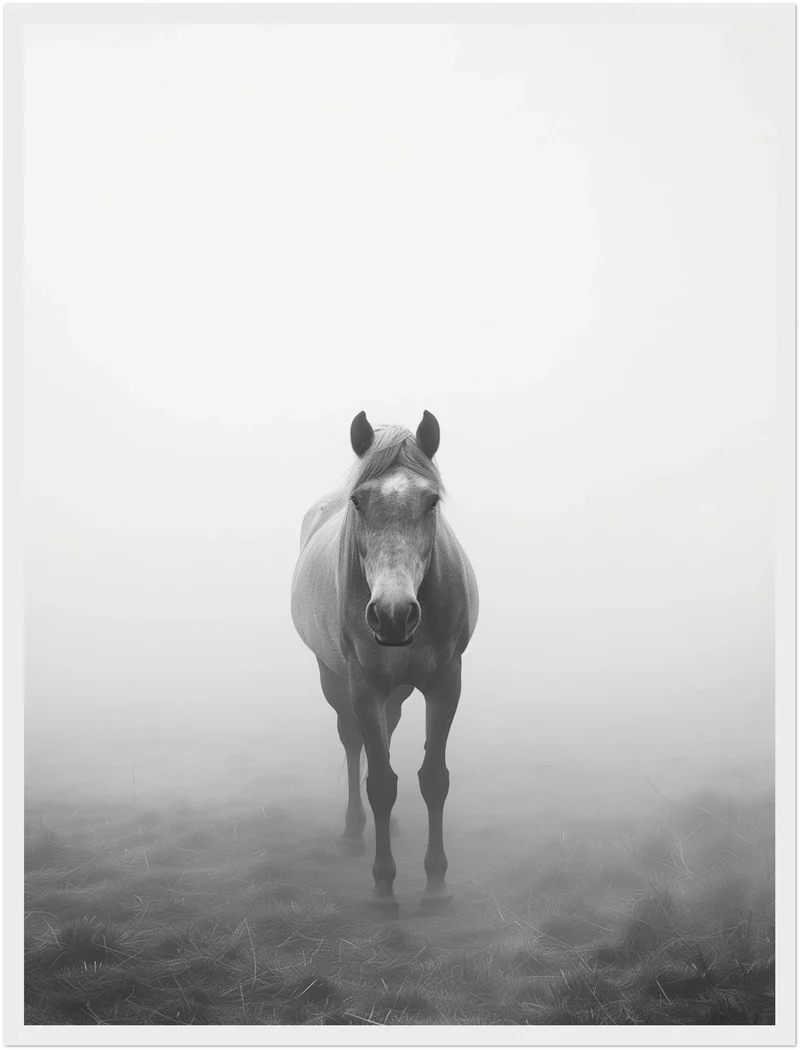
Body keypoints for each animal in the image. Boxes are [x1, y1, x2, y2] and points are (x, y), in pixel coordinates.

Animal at [290, 411, 479, 913]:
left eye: (432, 501)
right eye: (358, 501)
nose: (393, 615)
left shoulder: (445, 682)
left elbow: (433, 779)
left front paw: (436, 884)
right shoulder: (364, 686)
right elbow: (378, 783)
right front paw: (383, 887)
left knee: (388, 735)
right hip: (334, 679)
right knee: (353, 744)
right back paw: (354, 832)